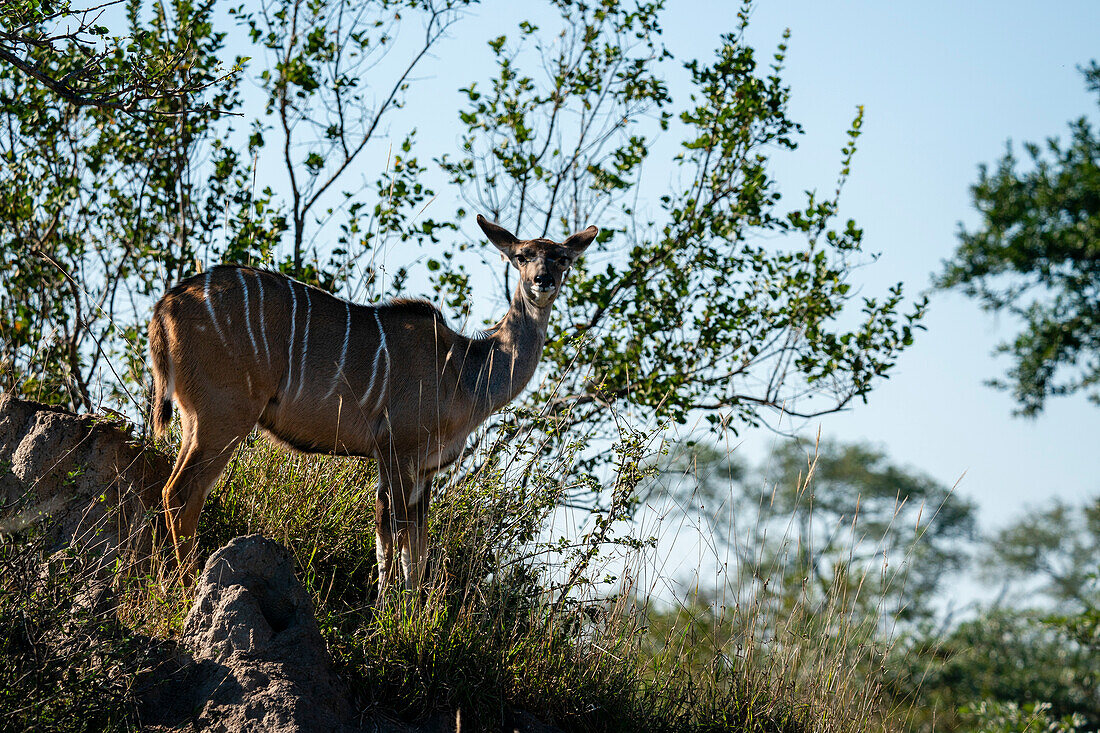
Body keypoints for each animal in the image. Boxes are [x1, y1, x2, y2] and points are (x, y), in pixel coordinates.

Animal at [149, 214, 598, 589]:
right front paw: (388, 616)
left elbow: (415, 550)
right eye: (523, 256)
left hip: (196, 419)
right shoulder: (399, 452)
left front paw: (414, 617)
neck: (465, 369)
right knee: (181, 493)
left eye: (561, 257)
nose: (543, 280)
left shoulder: (423, 468)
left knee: (176, 491)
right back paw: (185, 590)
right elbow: (390, 537)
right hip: (224, 415)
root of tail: (165, 307)